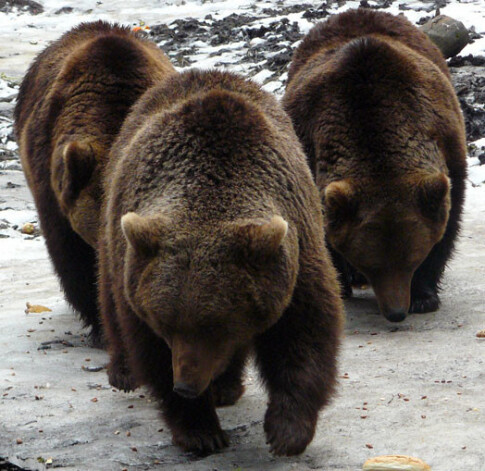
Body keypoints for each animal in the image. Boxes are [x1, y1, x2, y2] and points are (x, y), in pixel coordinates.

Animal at [97, 68, 344, 456]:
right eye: (165, 323)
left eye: (215, 325)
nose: (186, 385)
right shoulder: (137, 275)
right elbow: (148, 348)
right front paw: (201, 430)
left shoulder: (296, 248)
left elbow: (306, 332)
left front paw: (286, 430)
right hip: (114, 226)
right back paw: (123, 371)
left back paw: (225, 385)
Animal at [282, 9, 466, 322]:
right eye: (371, 264)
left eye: (411, 260)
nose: (396, 312)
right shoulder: (307, 141)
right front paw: (342, 281)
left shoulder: (446, 142)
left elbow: (447, 222)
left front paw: (423, 296)